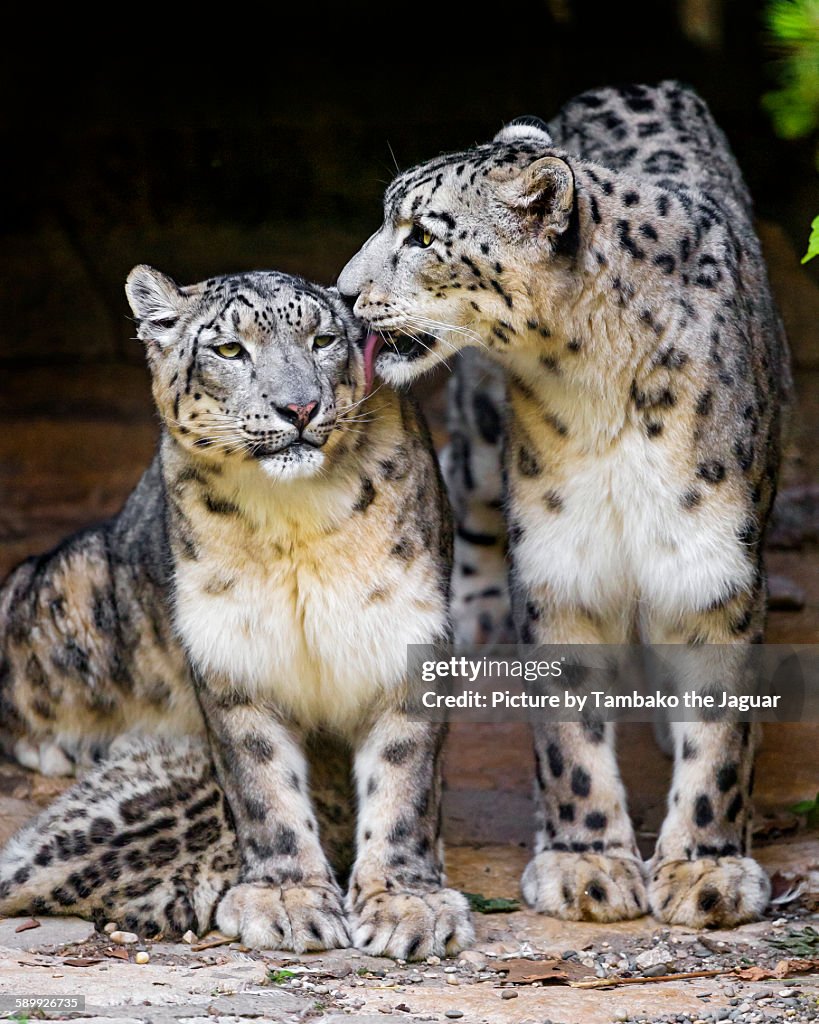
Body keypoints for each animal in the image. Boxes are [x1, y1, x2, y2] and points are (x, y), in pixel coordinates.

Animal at [0, 266, 473, 958]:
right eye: (229, 349)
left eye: (323, 338)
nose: (299, 408)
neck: (298, 523)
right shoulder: (234, 651)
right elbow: (264, 787)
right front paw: (287, 900)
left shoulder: (402, 636)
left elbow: (401, 781)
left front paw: (406, 905)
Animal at [337, 80, 792, 928]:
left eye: (420, 233)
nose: (345, 294)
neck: (598, 386)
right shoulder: (560, 556)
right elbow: (568, 738)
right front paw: (588, 866)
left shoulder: (710, 560)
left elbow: (719, 736)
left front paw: (705, 872)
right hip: (484, 440)